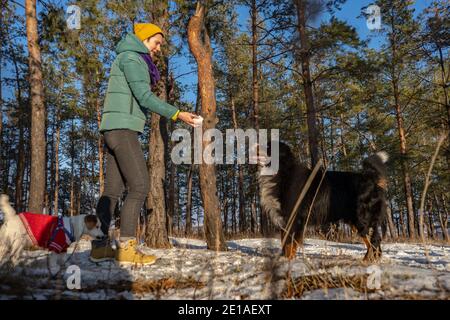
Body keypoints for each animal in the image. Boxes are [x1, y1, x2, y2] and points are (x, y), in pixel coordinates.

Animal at [255, 141, 388, 262]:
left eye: (268, 146)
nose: (253, 145)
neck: (282, 172)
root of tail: (370, 179)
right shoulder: (285, 219)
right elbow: (284, 242)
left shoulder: (294, 218)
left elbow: (289, 243)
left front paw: (288, 260)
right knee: (372, 242)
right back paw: (369, 259)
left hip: (362, 219)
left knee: (374, 241)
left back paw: (368, 260)